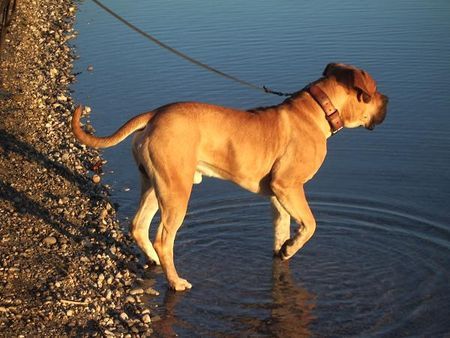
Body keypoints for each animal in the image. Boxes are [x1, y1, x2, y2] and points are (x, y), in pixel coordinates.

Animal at [72, 63, 388, 290]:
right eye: (374, 93)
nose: (388, 99)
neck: (320, 109)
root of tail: (154, 114)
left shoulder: (277, 195)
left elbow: (282, 227)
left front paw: (282, 251)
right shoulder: (288, 185)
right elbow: (310, 224)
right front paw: (291, 248)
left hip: (153, 184)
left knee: (138, 225)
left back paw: (153, 260)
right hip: (176, 190)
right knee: (163, 238)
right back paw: (175, 281)